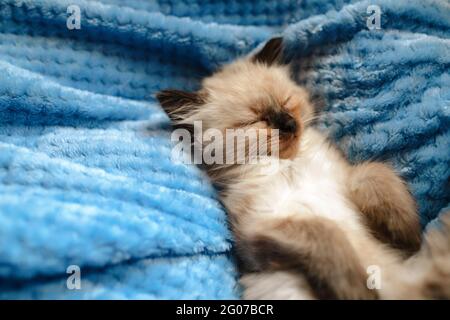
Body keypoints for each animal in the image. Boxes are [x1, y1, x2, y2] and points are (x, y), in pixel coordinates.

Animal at [156, 38, 450, 300]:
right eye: (255, 120)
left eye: (286, 102)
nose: (289, 124)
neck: (290, 163)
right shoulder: (260, 229)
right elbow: (326, 231)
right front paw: (356, 290)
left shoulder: (345, 179)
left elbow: (374, 173)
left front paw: (406, 237)